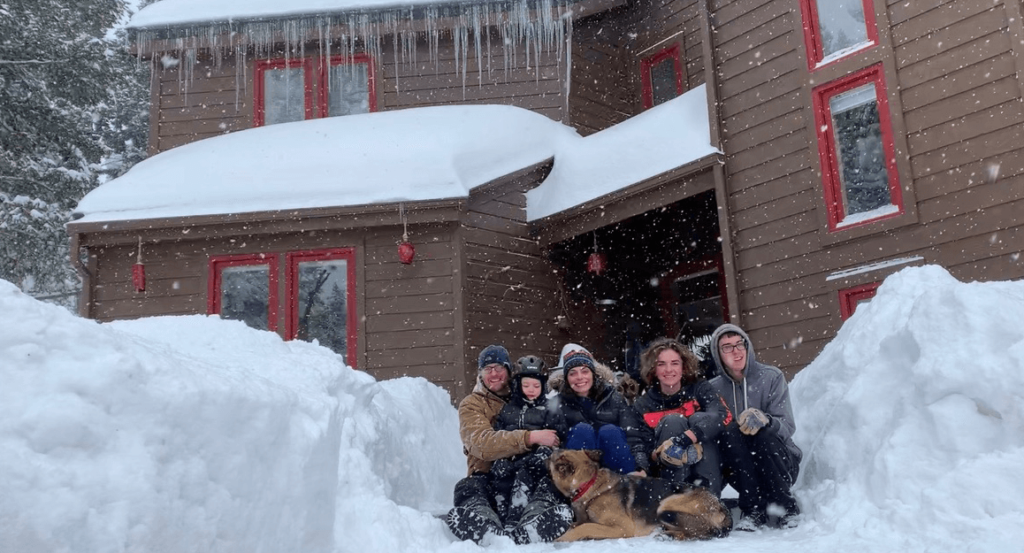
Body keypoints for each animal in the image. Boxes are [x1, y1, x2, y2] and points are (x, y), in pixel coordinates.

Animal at [548, 448, 733, 540]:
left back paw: (669, 535)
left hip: (666, 506)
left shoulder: (623, 527)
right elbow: (579, 524)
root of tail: (722, 507)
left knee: (704, 532)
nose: (552, 448)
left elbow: (585, 526)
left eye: (556, 456)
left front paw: (563, 538)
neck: (589, 484)